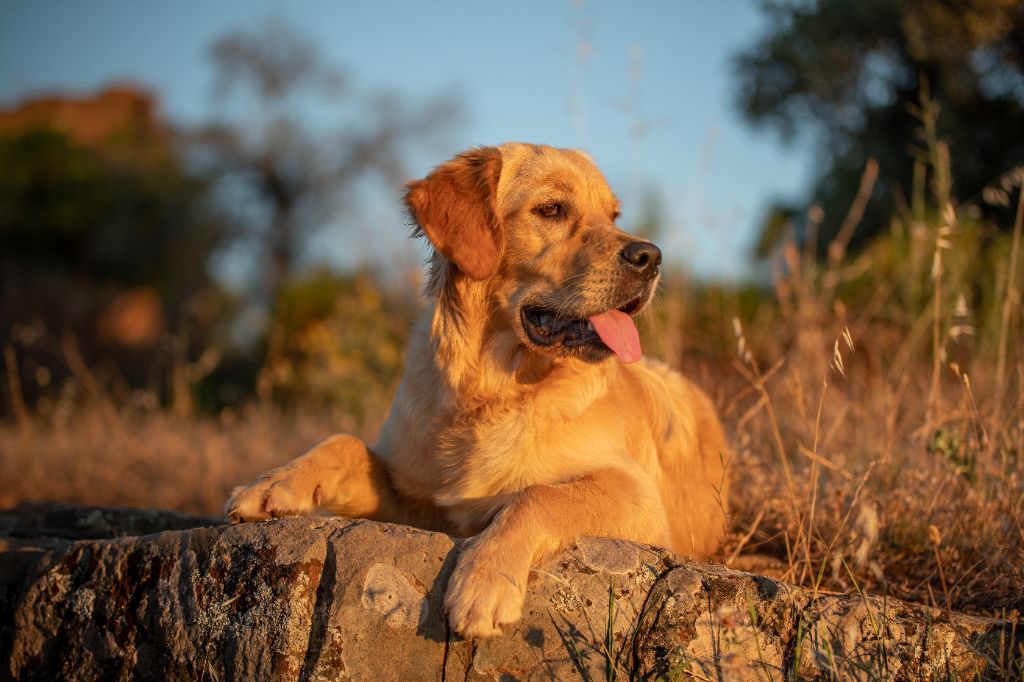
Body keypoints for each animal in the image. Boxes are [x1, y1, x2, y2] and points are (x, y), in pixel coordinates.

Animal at [228, 142, 733, 638]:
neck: (491, 389)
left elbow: (539, 495)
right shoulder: (424, 504)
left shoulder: (639, 497)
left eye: (613, 216)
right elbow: (344, 441)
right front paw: (272, 482)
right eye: (552, 209)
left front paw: (485, 582)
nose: (651, 257)